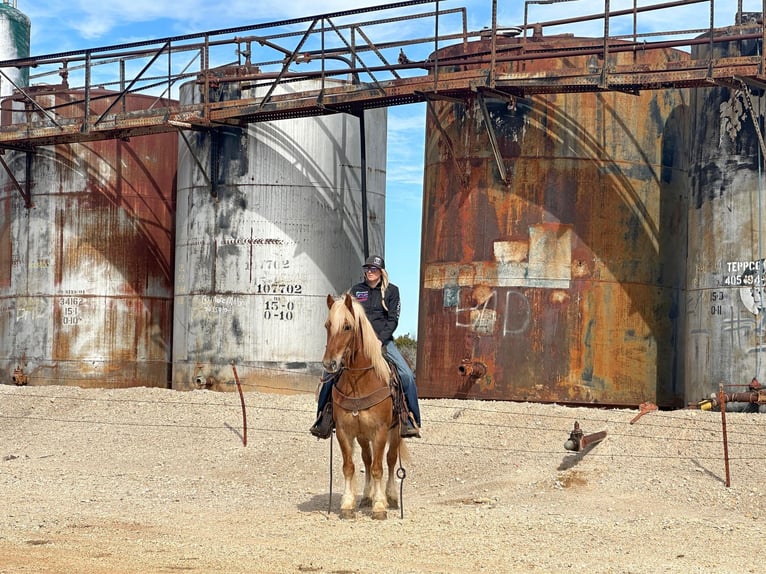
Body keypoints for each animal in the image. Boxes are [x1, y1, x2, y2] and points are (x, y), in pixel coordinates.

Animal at [322, 294, 412, 520]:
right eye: (327, 325)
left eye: (347, 326)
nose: (330, 364)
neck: (359, 382)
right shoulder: (344, 432)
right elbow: (350, 466)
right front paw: (348, 504)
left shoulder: (380, 431)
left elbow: (379, 467)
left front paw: (379, 506)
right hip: (363, 436)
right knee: (367, 460)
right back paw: (366, 496)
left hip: (395, 431)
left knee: (389, 460)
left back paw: (391, 497)